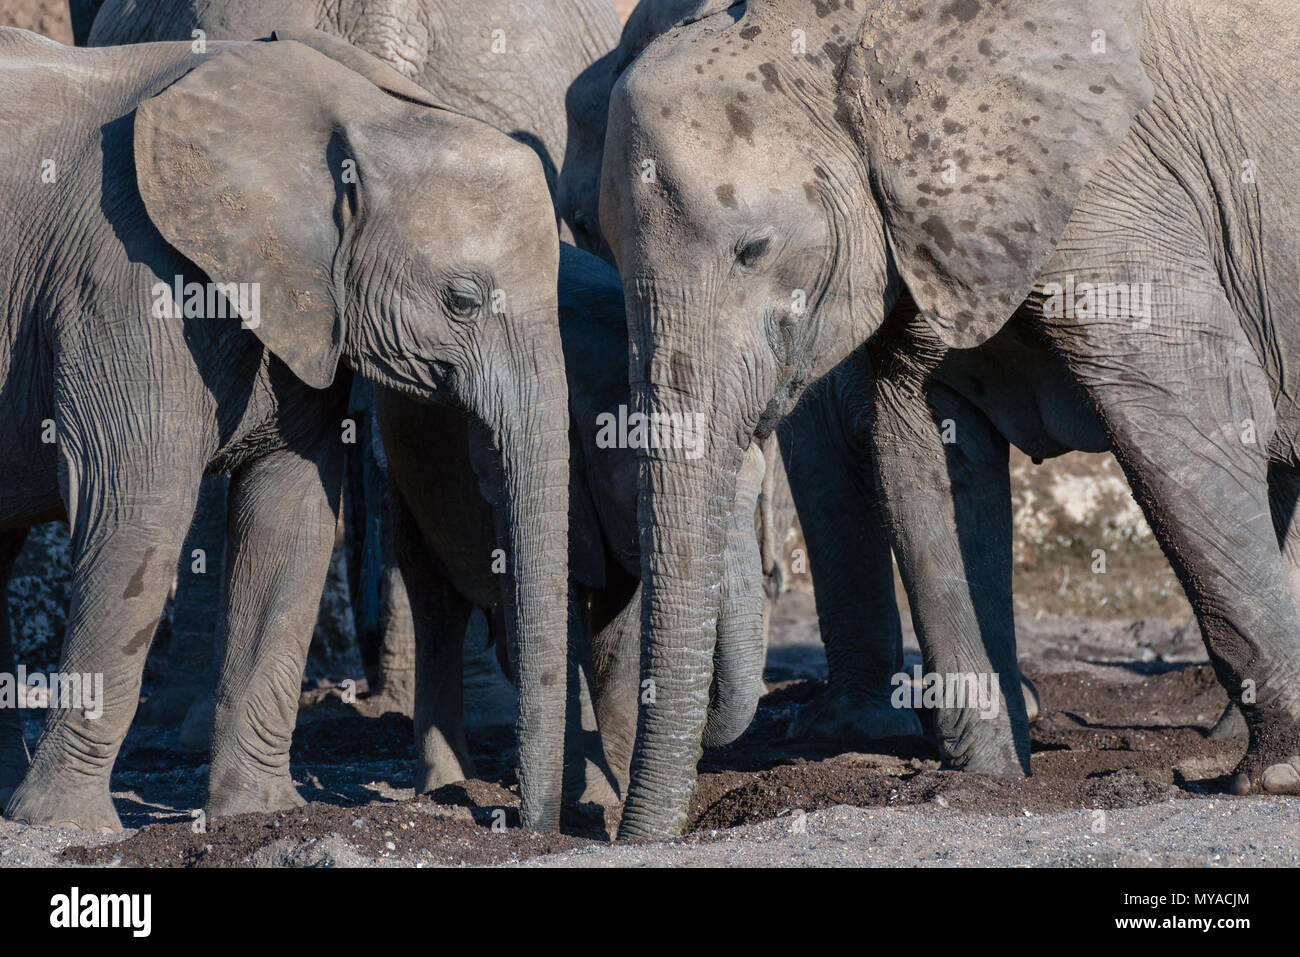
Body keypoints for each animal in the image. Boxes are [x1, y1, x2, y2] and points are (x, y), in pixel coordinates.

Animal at [0, 27, 569, 832]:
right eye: (461, 299)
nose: (517, 820)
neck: (345, 106)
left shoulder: (305, 305)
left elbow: (289, 518)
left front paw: (260, 814)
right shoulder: (127, 275)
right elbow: (136, 510)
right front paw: (62, 825)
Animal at [600, 0, 1300, 837]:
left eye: (755, 249)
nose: (624, 836)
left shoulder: (1115, 186)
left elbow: (1188, 407)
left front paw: (1277, 777)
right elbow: (923, 451)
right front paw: (987, 783)